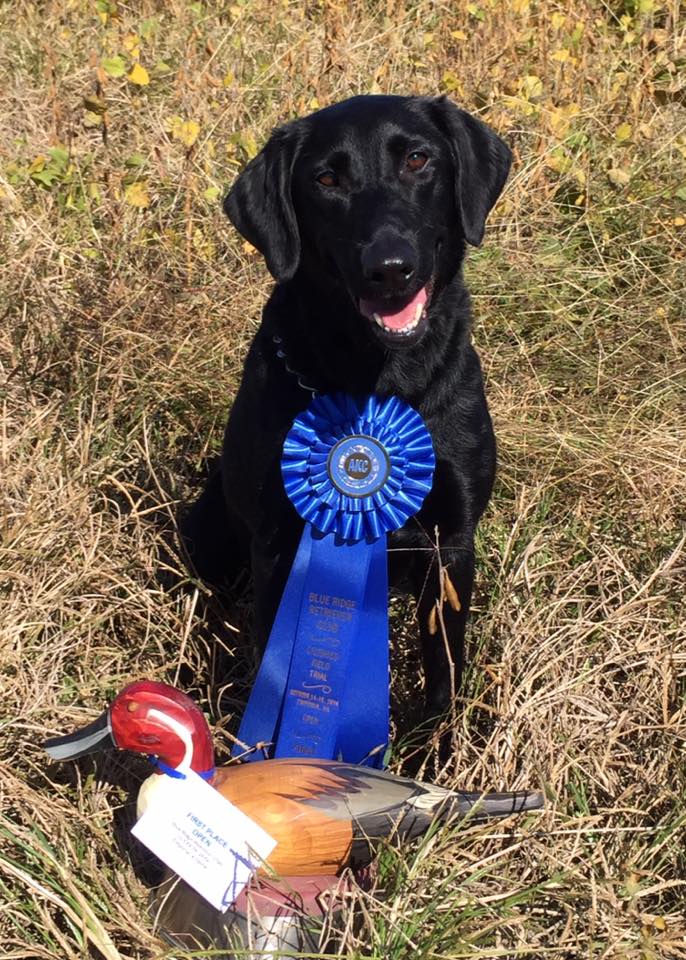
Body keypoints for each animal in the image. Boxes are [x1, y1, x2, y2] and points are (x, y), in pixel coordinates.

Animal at [183, 95, 512, 722]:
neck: (381, 380)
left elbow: (444, 668)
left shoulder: (452, 540)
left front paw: (437, 745)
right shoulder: (278, 541)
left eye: (417, 159)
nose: (389, 268)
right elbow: (277, 663)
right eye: (326, 180)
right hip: (208, 533)